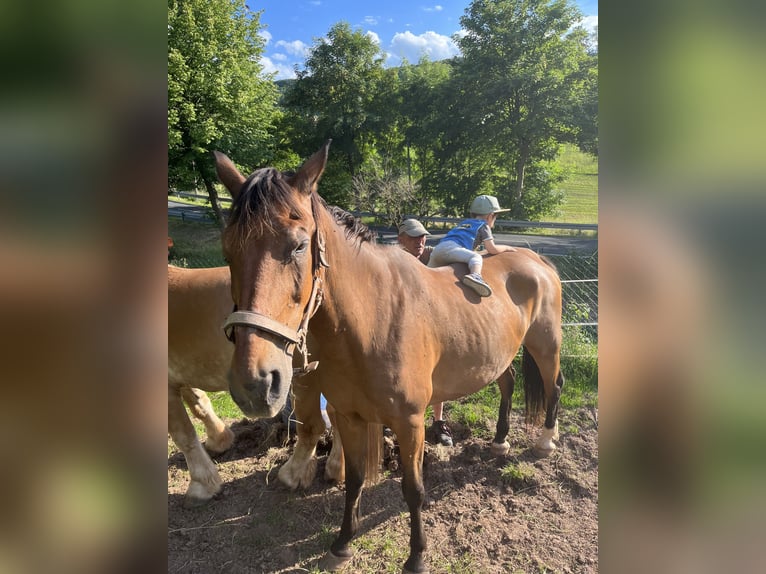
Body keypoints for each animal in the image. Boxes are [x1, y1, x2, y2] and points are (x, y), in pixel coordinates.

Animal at [172, 264, 346, 506]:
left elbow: (183, 434)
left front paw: (202, 485)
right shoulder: (182, 375)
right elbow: (200, 404)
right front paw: (220, 440)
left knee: (317, 423)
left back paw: (298, 473)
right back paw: (336, 468)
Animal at [214, 141, 564, 574]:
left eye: (298, 245)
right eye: (228, 250)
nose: (256, 382)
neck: (372, 321)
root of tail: (537, 260)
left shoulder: (409, 422)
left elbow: (413, 489)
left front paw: (417, 556)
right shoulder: (349, 416)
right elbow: (354, 480)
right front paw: (342, 544)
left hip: (545, 345)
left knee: (553, 386)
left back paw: (546, 441)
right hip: (500, 354)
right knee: (508, 384)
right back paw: (500, 442)